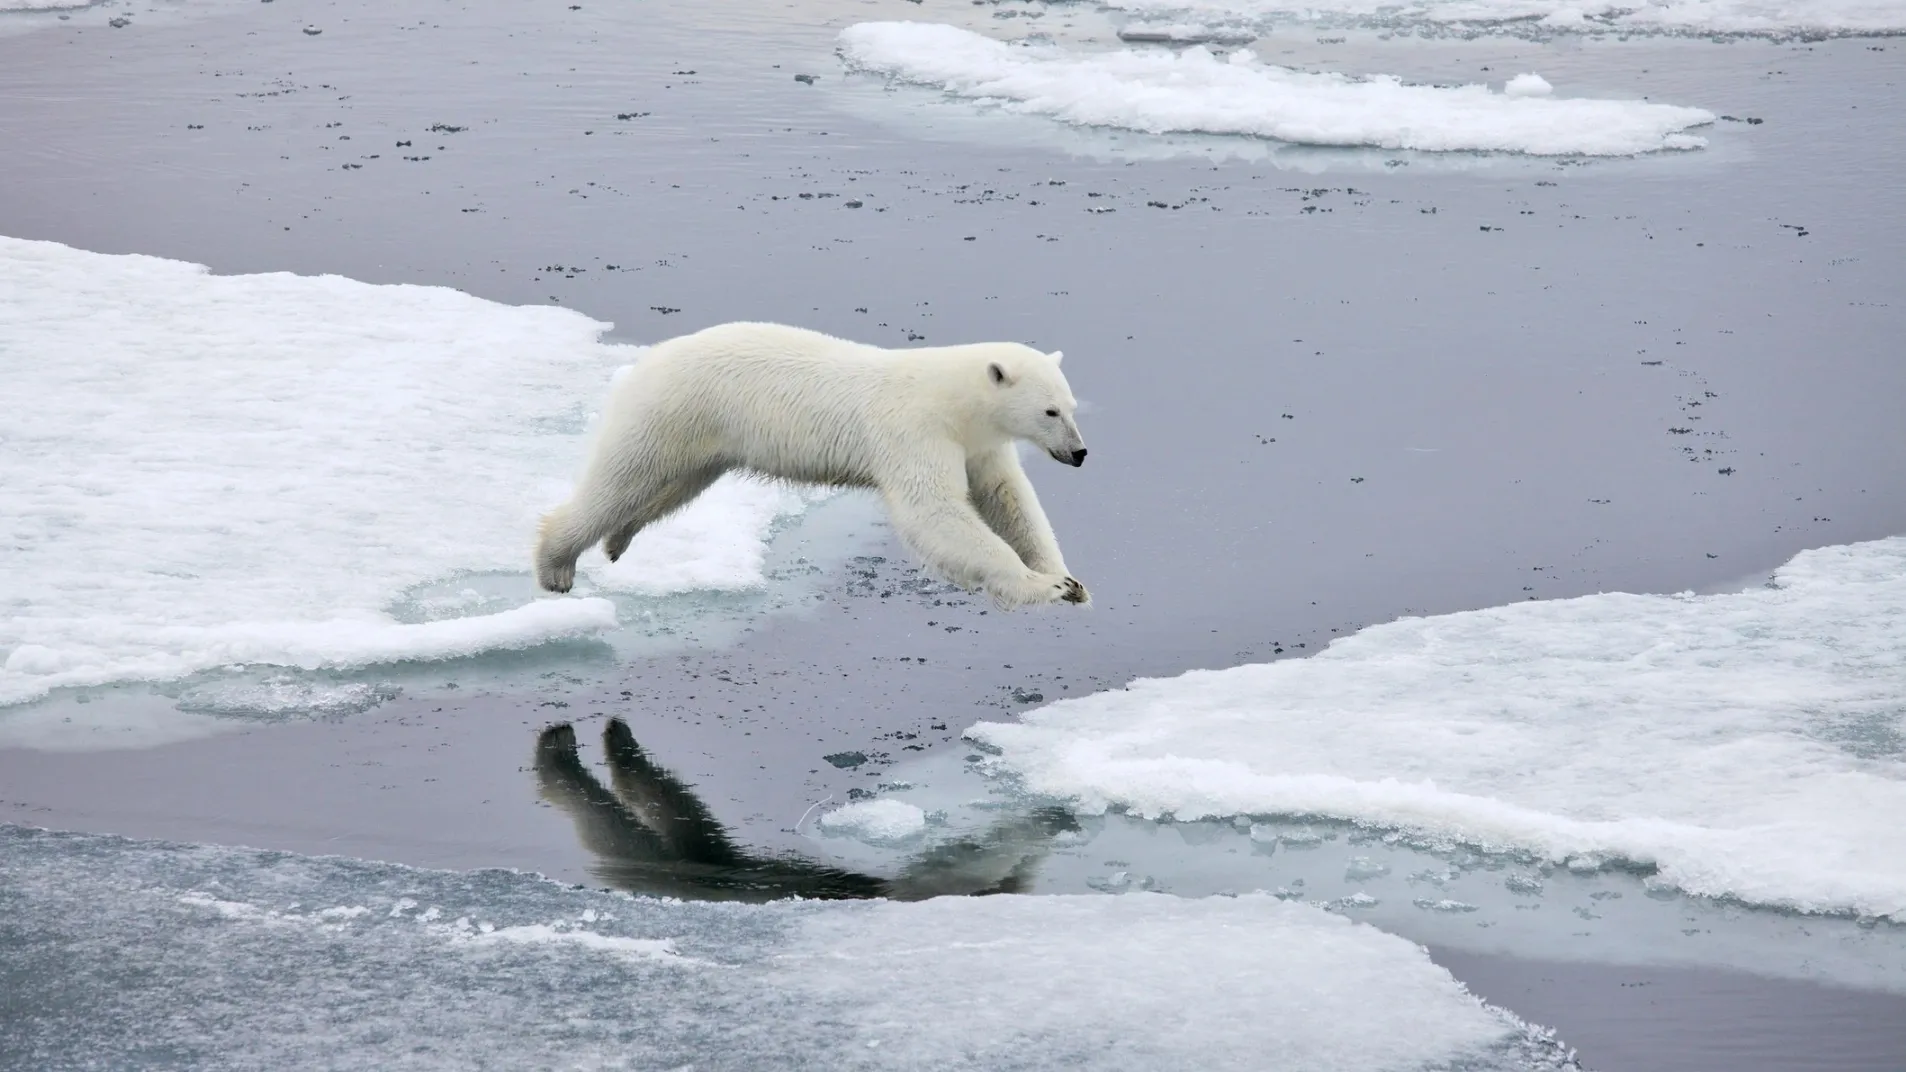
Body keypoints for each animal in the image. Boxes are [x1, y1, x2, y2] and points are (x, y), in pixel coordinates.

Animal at [537, 320, 1097, 606]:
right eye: (1050, 411)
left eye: (1072, 406)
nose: (1079, 453)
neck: (953, 399)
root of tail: (646, 359)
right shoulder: (915, 431)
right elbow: (934, 512)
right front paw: (1044, 586)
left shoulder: (978, 443)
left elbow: (1009, 499)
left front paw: (1069, 579)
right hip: (672, 410)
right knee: (622, 478)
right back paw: (556, 565)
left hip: (705, 439)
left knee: (671, 488)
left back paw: (618, 540)